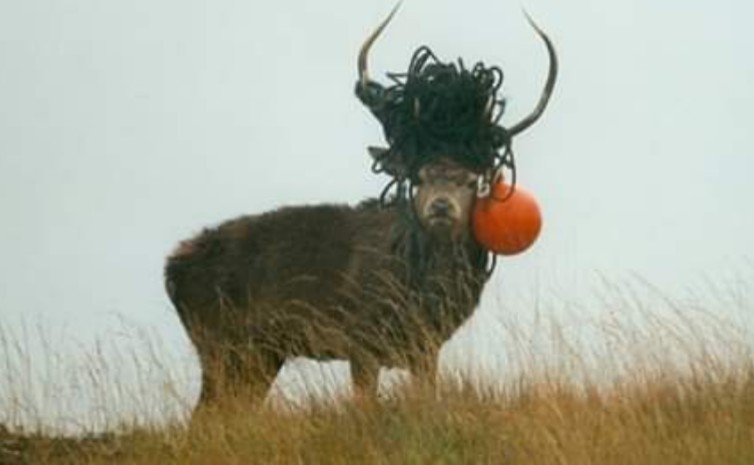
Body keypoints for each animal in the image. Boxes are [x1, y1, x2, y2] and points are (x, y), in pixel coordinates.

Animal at [164, 9, 557, 410]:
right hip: (220, 342)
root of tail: (171, 268)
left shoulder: (427, 346)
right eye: (419, 176)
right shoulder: (361, 338)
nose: (441, 205)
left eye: (471, 180)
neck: (421, 288)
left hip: (258, 353)